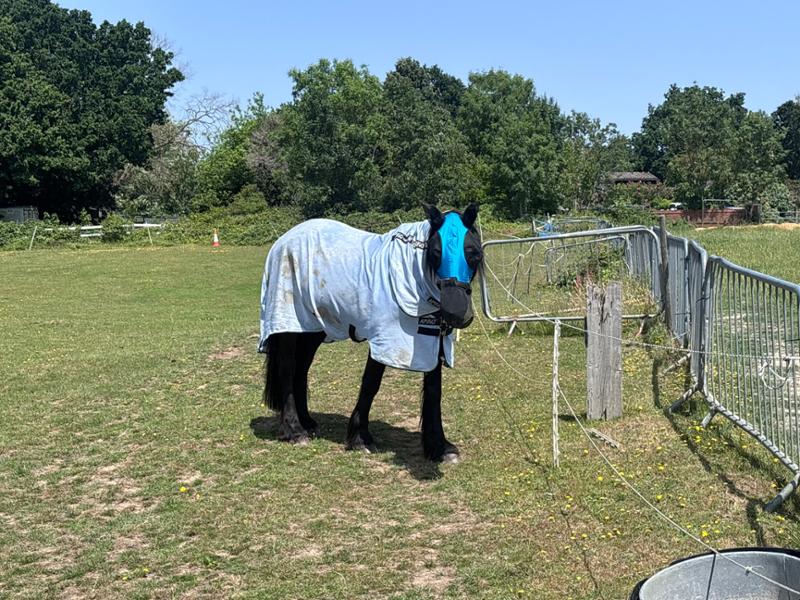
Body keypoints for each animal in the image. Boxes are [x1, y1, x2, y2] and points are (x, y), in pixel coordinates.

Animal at [258, 204, 482, 463]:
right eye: (436, 252)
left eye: (473, 252)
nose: (456, 312)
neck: (412, 280)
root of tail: (283, 241)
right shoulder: (384, 339)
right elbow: (371, 384)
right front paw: (360, 439)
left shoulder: (432, 341)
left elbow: (434, 391)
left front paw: (440, 447)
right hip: (288, 326)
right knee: (287, 370)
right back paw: (295, 430)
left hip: (311, 330)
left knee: (301, 370)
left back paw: (307, 422)